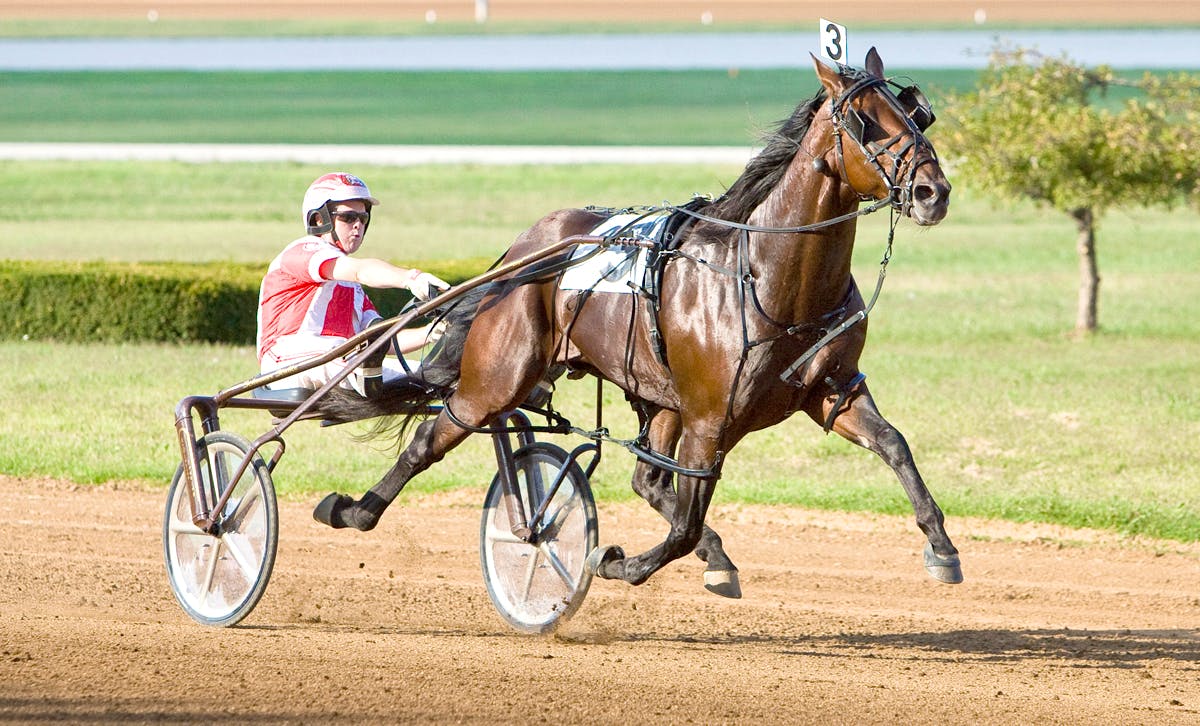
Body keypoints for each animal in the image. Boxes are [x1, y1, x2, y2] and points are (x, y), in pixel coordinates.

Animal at [312, 49, 964, 595]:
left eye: (914, 113)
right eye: (864, 121)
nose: (933, 191)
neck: (765, 277)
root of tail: (526, 248)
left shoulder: (830, 390)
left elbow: (895, 445)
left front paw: (942, 547)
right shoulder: (710, 419)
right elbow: (684, 521)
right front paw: (617, 563)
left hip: (658, 394)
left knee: (648, 481)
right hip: (499, 376)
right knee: (436, 434)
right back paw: (353, 509)